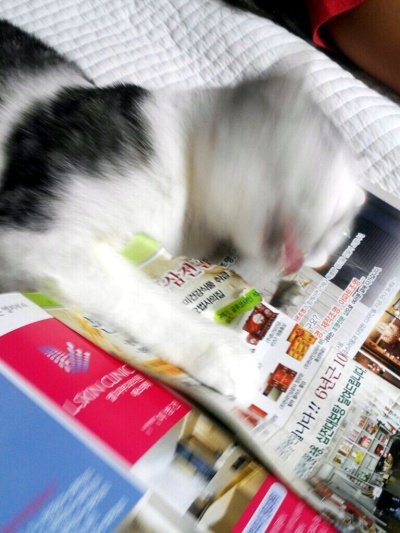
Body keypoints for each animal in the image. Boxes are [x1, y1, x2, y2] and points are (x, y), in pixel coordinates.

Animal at [0, 20, 363, 401]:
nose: (312, 259)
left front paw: (283, 298)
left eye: (335, 235)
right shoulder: (37, 236)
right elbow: (146, 299)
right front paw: (224, 351)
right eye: (334, 220)